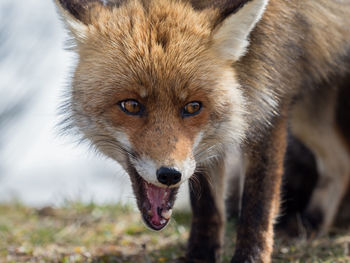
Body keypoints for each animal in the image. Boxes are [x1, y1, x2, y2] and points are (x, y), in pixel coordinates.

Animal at [54, 0, 350, 262]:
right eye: (131, 105)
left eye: (193, 106)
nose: (169, 175)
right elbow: (207, 204)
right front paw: (200, 256)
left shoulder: (270, 98)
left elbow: (258, 204)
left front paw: (250, 258)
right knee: (339, 161)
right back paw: (310, 225)